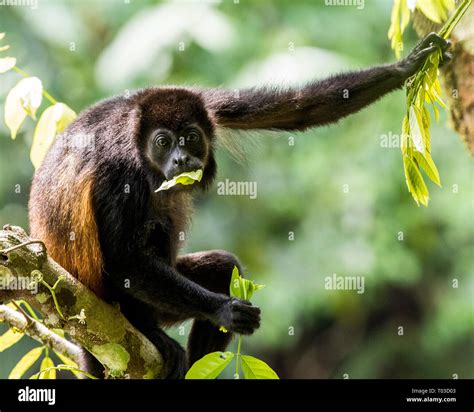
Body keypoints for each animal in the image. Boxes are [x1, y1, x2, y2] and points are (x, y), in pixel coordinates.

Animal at [27, 33, 450, 378]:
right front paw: (224, 311)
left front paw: (407, 65)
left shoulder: (208, 106)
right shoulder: (118, 170)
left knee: (221, 266)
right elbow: (122, 258)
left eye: (190, 137)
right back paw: (149, 330)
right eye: (163, 142)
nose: (181, 159)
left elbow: (297, 109)